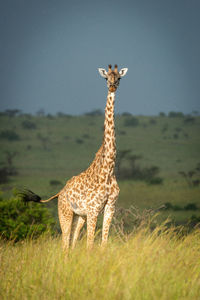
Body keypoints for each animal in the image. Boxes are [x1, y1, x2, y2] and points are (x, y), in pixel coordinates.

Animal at [20, 65, 128, 251]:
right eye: (106, 78)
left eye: (119, 78)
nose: (112, 86)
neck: (109, 168)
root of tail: (60, 193)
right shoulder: (93, 210)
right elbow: (90, 244)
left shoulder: (109, 207)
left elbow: (103, 243)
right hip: (65, 213)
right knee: (65, 243)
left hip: (79, 216)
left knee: (72, 242)